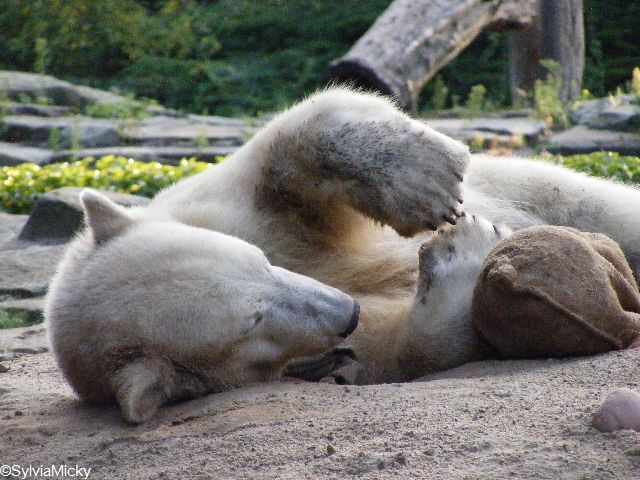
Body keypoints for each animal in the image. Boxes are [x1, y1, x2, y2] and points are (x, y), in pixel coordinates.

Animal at [46, 87, 640, 422]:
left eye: (258, 260)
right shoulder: (303, 350)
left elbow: (288, 142)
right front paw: (460, 251)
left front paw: (424, 183)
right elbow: (409, 345)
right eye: (252, 321)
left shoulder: (225, 205)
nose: (344, 310)